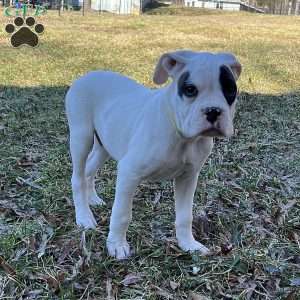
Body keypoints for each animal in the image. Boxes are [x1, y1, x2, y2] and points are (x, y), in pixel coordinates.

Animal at [65, 50, 241, 258]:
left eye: (230, 89)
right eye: (190, 90)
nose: (213, 111)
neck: (181, 136)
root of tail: (86, 76)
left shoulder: (188, 177)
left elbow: (185, 216)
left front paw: (188, 244)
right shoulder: (129, 172)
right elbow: (122, 213)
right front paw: (116, 245)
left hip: (104, 145)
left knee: (89, 170)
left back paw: (92, 199)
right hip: (81, 137)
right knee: (77, 177)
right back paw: (84, 217)